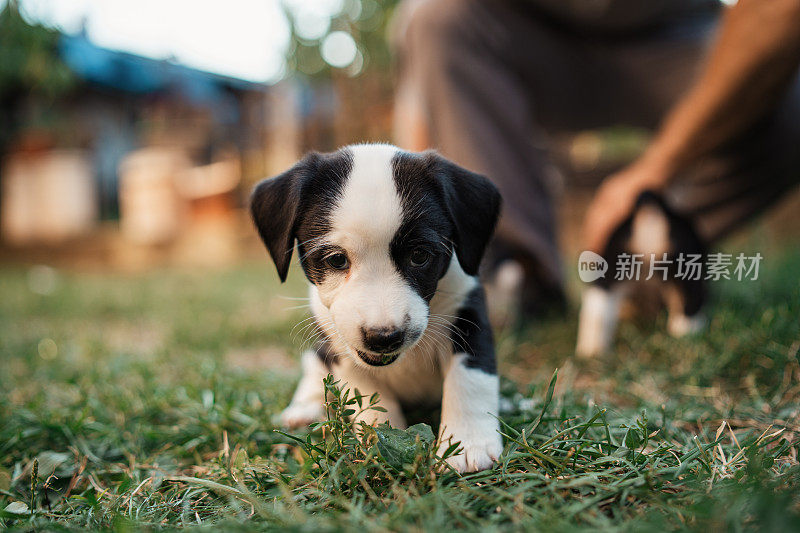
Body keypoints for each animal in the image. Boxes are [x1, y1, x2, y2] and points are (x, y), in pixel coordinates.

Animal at [250, 143, 504, 472]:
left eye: (420, 256)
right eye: (336, 259)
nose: (383, 337)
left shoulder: (468, 315)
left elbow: (471, 379)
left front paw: (467, 445)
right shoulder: (338, 344)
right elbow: (369, 394)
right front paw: (381, 441)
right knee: (312, 367)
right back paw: (304, 408)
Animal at [576, 191, 708, 358]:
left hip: (612, 266)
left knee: (598, 306)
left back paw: (592, 350)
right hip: (687, 267)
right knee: (690, 301)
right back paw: (687, 333)